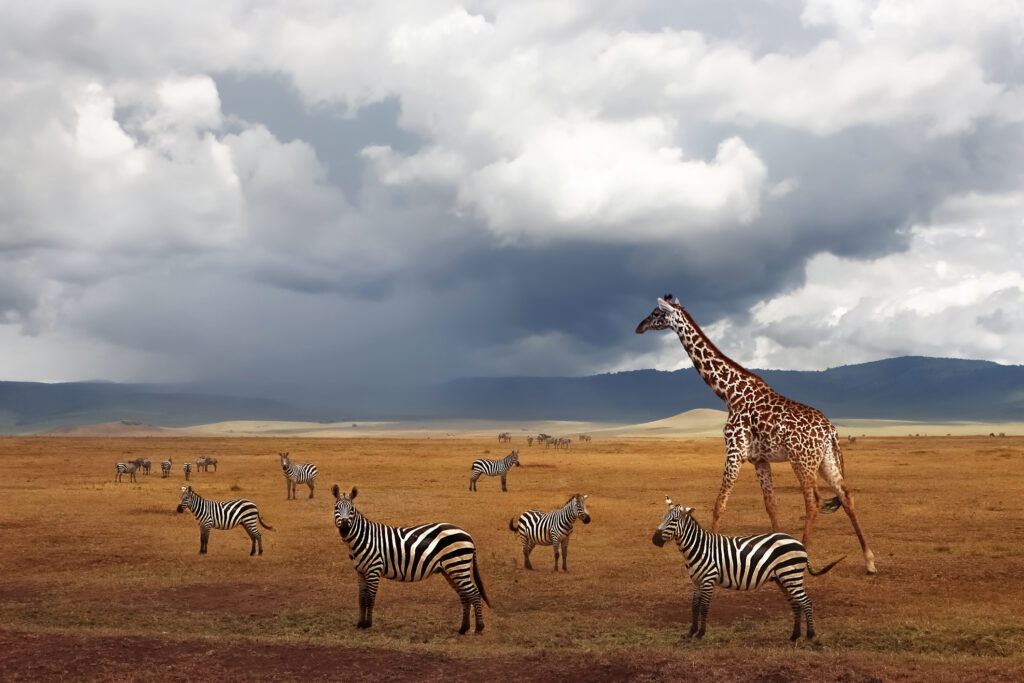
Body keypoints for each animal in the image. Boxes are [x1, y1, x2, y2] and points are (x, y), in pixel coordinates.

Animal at [331, 484, 490, 634]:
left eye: (351, 509)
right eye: (336, 508)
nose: (344, 527)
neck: (365, 538)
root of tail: (468, 535)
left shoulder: (374, 569)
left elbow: (370, 598)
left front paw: (367, 624)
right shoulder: (361, 571)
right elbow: (361, 598)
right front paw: (360, 623)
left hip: (457, 566)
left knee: (474, 594)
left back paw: (479, 627)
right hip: (451, 570)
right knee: (465, 596)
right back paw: (464, 628)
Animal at [652, 498, 845, 641]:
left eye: (674, 520)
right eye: (662, 517)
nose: (655, 540)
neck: (699, 547)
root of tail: (799, 543)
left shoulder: (708, 579)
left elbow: (704, 607)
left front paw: (700, 634)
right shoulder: (696, 581)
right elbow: (694, 606)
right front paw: (691, 632)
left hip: (791, 576)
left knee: (806, 602)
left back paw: (810, 635)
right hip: (783, 579)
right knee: (796, 604)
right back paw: (794, 636)